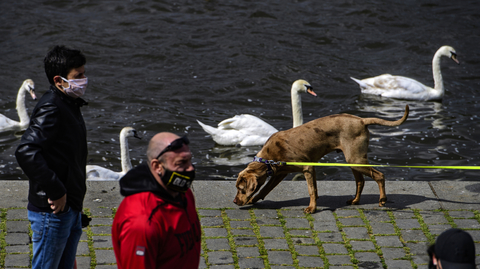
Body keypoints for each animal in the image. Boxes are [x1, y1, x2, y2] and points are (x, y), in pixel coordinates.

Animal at [232, 104, 408, 211]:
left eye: (240, 189)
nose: (234, 202)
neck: (269, 158)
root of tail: (361, 120)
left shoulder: (308, 168)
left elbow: (312, 190)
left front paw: (312, 208)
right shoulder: (279, 173)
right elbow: (266, 188)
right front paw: (254, 199)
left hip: (356, 160)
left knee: (379, 175)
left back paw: (383, 199)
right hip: (353, 160)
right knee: (361, 181)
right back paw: (355, 201)